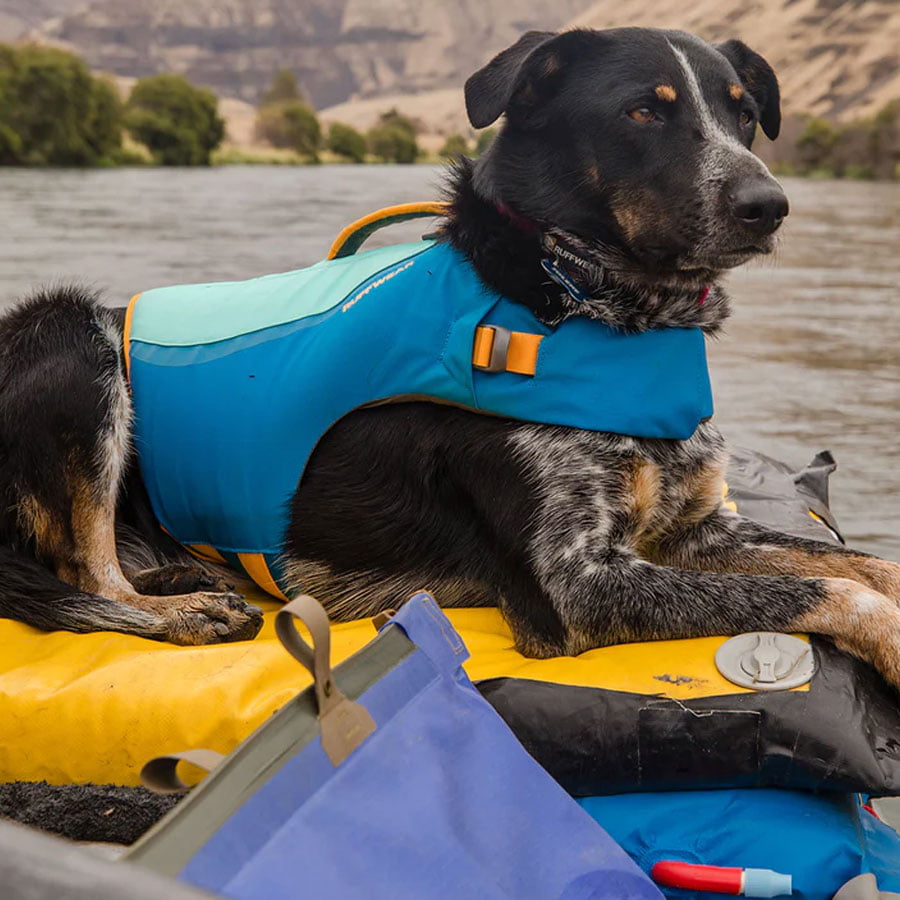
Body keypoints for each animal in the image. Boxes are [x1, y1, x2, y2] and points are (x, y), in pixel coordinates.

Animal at [1, 26, 900, 688]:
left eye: (743, 114)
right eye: (646, 111)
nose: (769, 204)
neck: (576, 300)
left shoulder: (699, 532)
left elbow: (861, 562)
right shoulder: (575, 587)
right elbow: (829, 589)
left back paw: (187, 579)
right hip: (73, 342)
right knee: (82, 576)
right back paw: (185, 611)